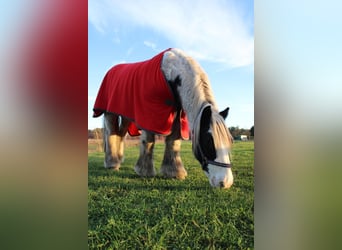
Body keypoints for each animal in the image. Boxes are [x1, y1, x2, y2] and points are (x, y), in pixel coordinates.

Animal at [92, 47, 234, 188]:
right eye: (208, 142)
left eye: (230, 141)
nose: (225, 182)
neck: (170, 74)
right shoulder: (148, 113)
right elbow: (149, 141)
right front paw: (145, 171)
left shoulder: (178, 113)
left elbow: (173, 141)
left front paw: (174, 172)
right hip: (110, 113)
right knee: (111, 133)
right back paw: (112, 163)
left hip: (126, 115)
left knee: (120, 134)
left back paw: (119, 159)